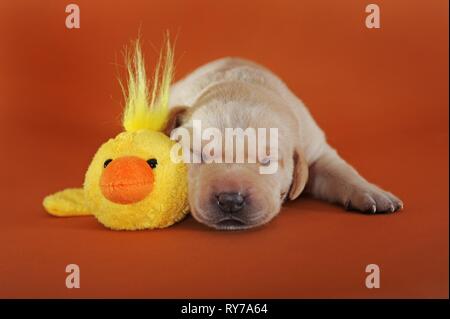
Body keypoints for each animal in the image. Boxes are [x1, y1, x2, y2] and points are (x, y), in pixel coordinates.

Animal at [166, 58, 404, 230]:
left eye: (267, 160)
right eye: (198, 154)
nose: (230, 200)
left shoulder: (316, 149)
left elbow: (340, 171)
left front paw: (372, 192)